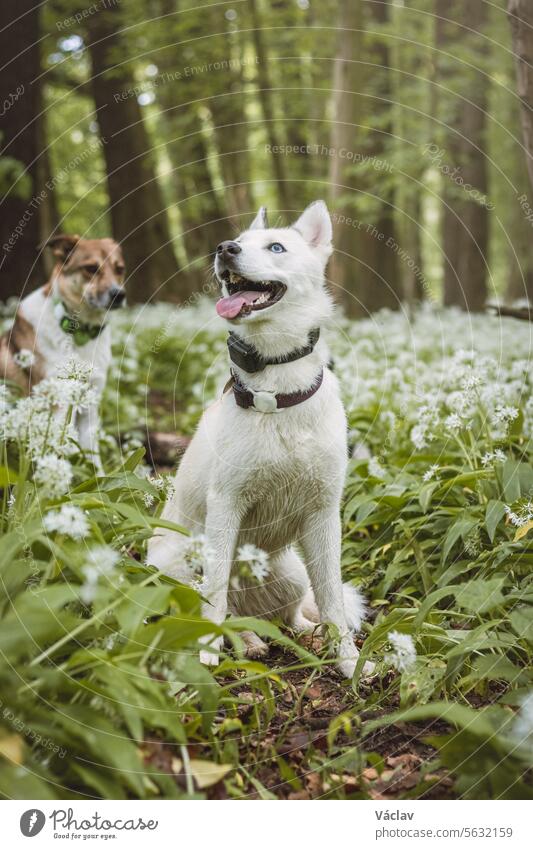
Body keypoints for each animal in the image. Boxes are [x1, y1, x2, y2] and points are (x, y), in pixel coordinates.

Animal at [0, 235, 125, 468]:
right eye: (91, 268)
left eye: (119, 269)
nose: (119, 294)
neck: (82, 333)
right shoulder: (59, 401)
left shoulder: (90, 402)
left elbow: (92, 455)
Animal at [145, 199, 370, 676]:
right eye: (237, 241)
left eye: (276, 247)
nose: (224, 248)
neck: (277, 391)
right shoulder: (226, 505)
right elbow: (213, 597)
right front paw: (207, 656)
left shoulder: (324, 514)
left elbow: (332, 599)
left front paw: (350, 663)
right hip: (179, 563)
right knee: (226, 609)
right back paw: (246, 643)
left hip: (291, 572)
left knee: (290, 613)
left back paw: (304, 634)